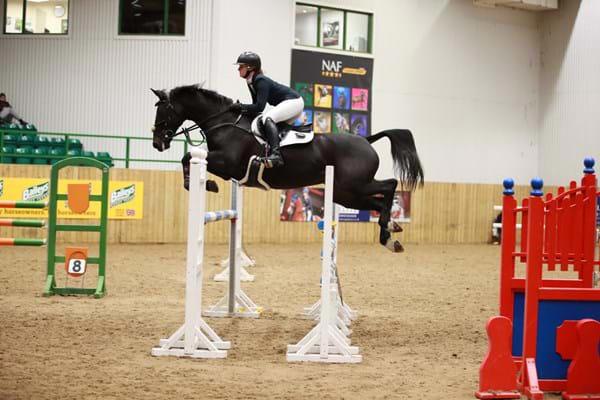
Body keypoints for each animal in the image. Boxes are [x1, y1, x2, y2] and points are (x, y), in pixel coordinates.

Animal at [149, 85, 422, 253]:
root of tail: (366, 140)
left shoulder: (227, 163)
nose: (157, 143)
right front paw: (206, 183)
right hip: (347, 193)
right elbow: (188, 158)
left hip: (354, 185)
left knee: (390, 185)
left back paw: (388, 232)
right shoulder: (227, 168)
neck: (224, 123)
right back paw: (391, 232)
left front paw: (207, 184)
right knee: (377, 201)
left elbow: (187, 157)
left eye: (164, 110)